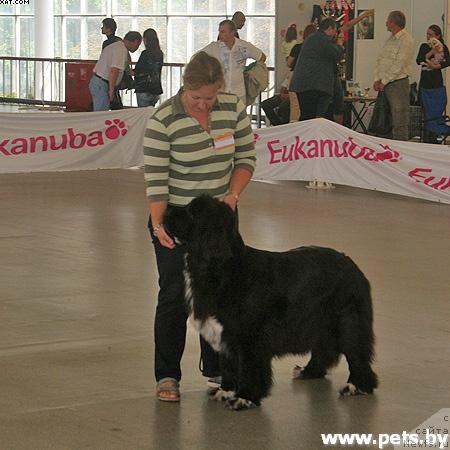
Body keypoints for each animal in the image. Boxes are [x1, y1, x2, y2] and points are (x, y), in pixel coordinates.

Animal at [163, 196, 378, 412]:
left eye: (191, 213)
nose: (165, 211)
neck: (223, 270)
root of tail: (353, 265)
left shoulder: (249, 337)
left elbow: (249, 369)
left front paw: (245, 397)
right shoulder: (227, 337)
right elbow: (229, 366)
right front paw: (226, 391)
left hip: (349, 323)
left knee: (357, 355)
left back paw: (357, 386)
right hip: (321, 323)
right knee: (324, 349)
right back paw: (308, 371)